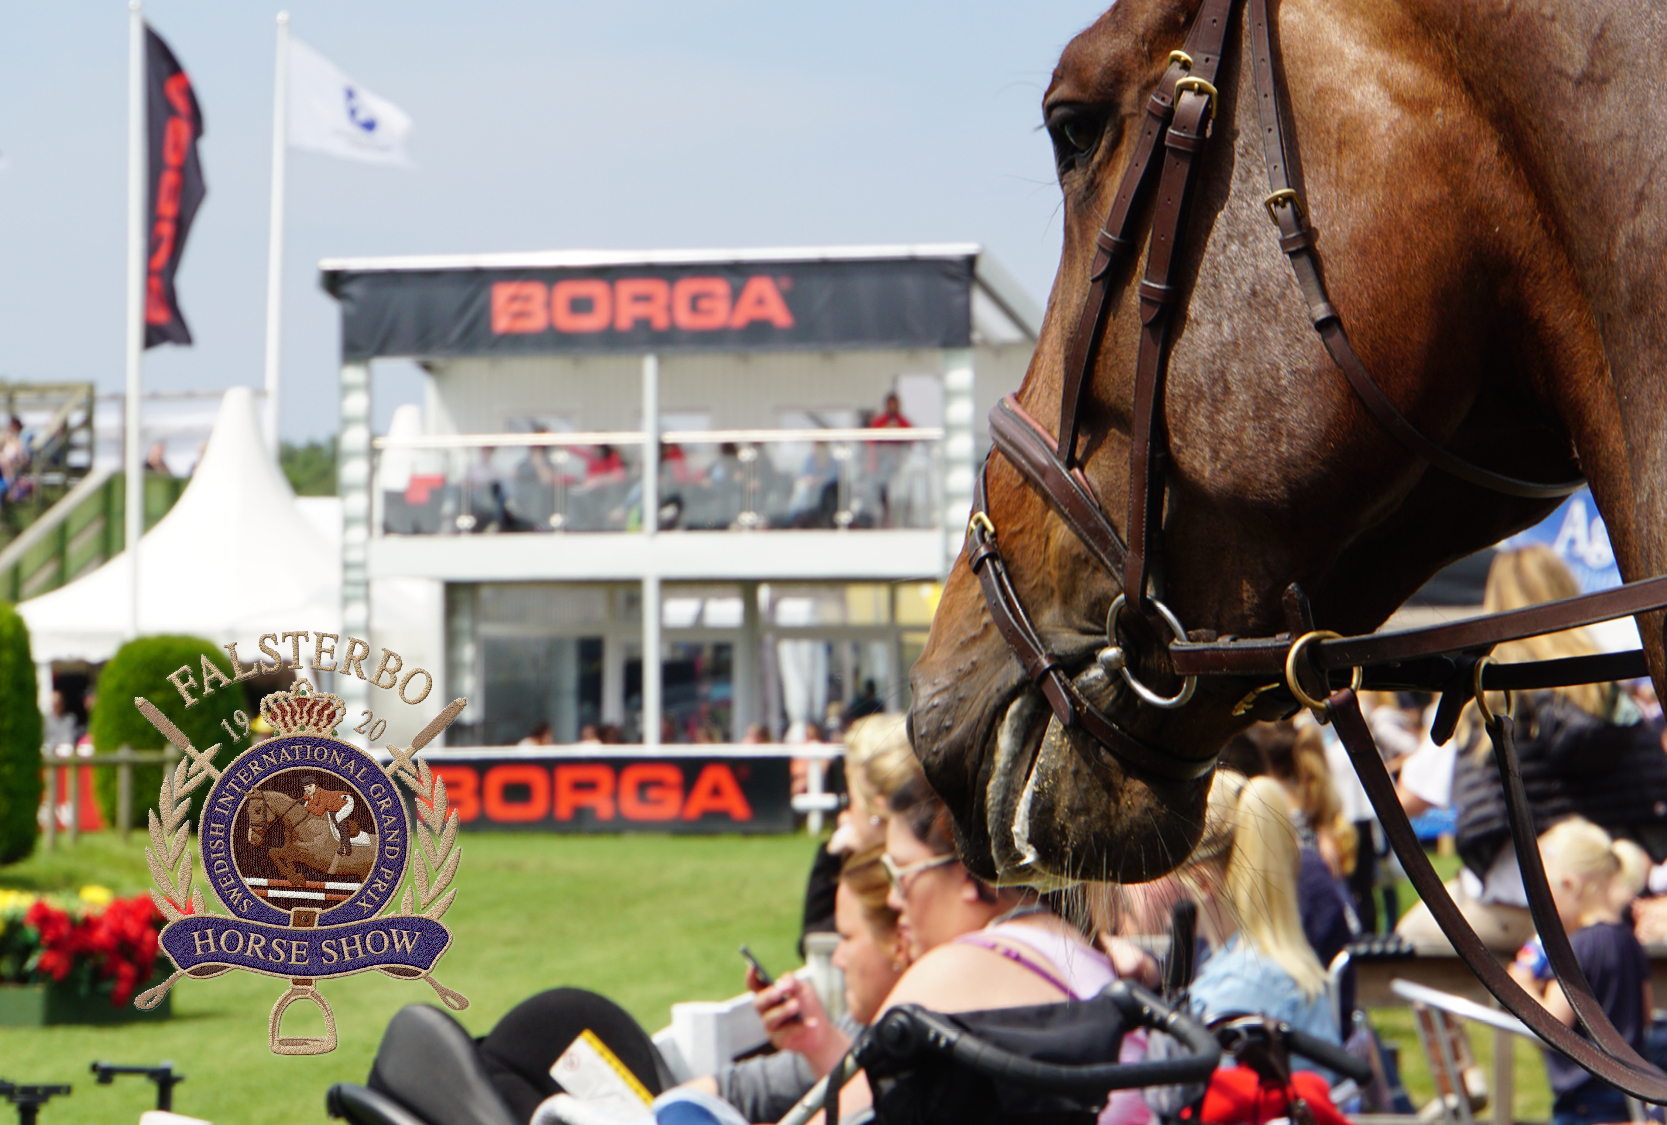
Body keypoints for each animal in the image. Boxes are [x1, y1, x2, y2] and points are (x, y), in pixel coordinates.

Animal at [243, 793, 375, 886]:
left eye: (257, 810)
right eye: (247, 811)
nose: (253, 839)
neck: (301, 822)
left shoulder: (313, 855)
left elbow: (287, 854)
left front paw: (294, 877)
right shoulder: (290, 847)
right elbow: (274, 852)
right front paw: (293, 875)